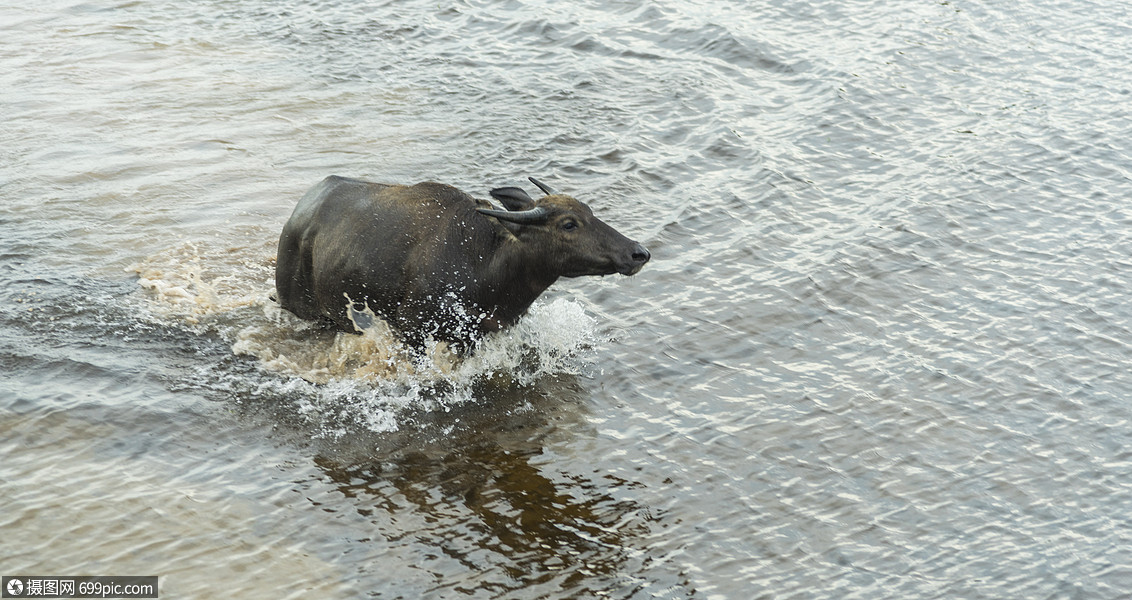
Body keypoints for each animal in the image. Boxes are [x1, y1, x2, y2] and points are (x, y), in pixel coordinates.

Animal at [273, 175, 652, 348]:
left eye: (589, 211)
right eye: (568, 224)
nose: (638, 252)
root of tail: (297, 217)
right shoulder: (414, 335)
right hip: (305, 313)